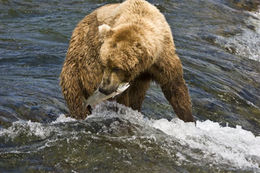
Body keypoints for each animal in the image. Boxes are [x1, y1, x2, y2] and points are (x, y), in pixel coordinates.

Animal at [60, 0, 194, 122]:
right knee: (74, 91)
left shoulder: (162, 57)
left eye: (117, 67)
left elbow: (174, 86)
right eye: (104, 64)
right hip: (77, 61)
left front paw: (188, 119)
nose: (103, 88)